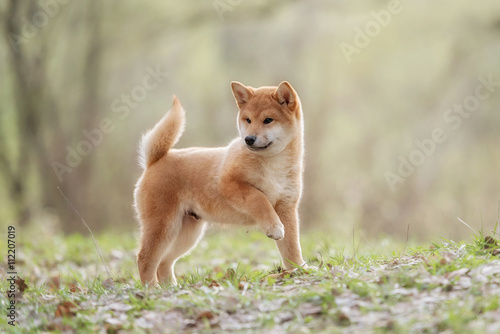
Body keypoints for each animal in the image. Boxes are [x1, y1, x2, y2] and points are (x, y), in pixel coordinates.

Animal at [135, 80, 304, 284]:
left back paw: (171, 287)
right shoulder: (228, 183)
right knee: (145, 259)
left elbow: (291, 249)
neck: (273, 162)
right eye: (248, 120)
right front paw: (274, 227)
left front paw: (299, 269)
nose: (248, 139)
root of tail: (155, 160)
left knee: (163, 262)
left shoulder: (287, 208)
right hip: (163, 226)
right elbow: (259, 199)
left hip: (186, 233)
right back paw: (152, 288)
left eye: (268, 120)